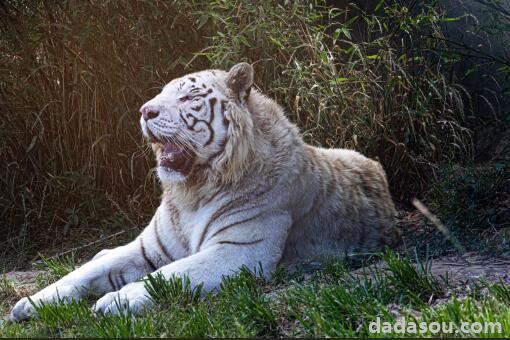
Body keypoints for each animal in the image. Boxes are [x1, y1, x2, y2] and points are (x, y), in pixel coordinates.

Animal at [8, 62, 398, 320]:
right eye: (160, 95)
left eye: (188, 98)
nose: (144, 110)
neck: (192, 191)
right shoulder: (147, 248)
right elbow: (82, 273)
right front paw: (30, 303)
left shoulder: (241, 250)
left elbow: (169, 275)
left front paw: (117, 301)